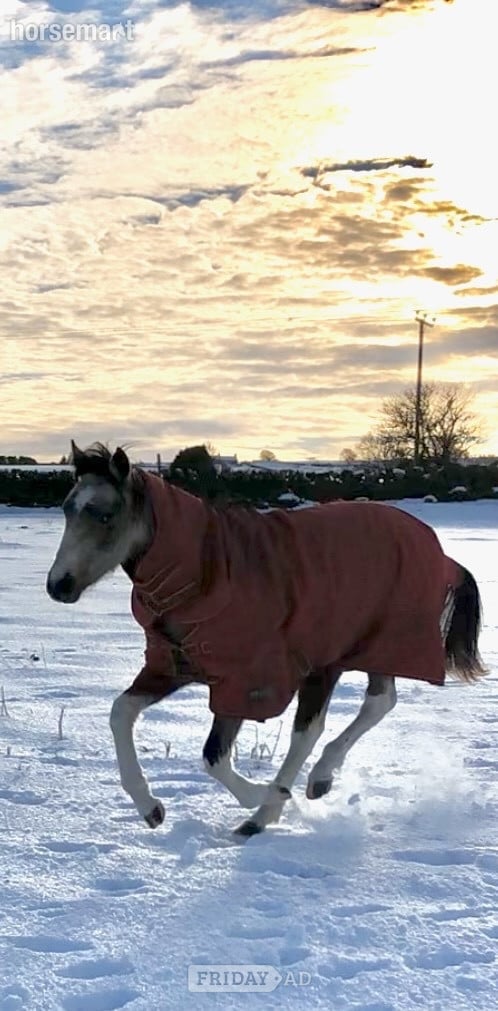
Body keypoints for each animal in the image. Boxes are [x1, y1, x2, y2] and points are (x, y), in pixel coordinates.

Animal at [46, 442, 486, 836]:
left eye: (105, 515)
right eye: (66, 509)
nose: (58, 586)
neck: (206, 572)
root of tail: (440, 552)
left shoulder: (249, 680)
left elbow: (214, 756)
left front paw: (263, 795)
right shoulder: (175, 665)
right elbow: (121, 712)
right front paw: (151, 808)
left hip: (337, 657)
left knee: (314, 729)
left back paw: (267, 811)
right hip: (368, 648)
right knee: (379, 702)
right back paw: (317, 781)